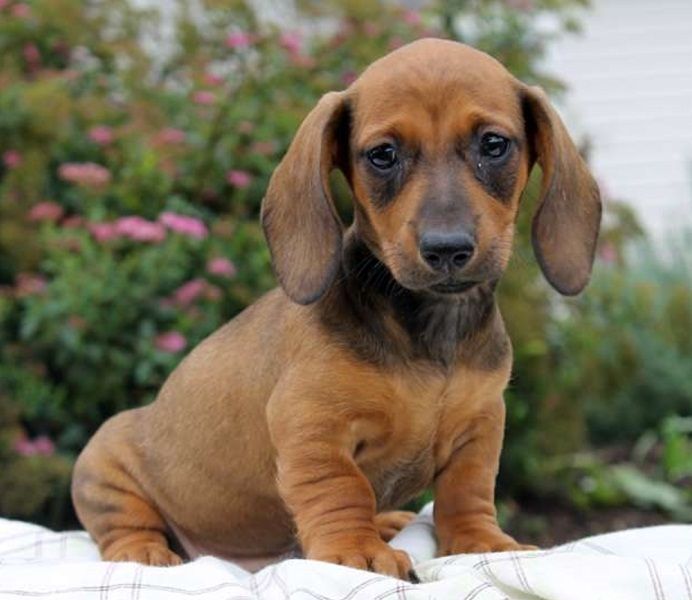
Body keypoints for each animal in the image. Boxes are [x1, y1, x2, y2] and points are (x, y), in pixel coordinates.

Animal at [72, 38, 601, 580]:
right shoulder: (312, 425)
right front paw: (356, 549)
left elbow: (467, 489)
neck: (430, 328)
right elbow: (341, 488)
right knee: (122, 524)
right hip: (104, 464)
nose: (447, 248)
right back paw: (143, 550)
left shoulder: (481, 425)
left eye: (494, 144)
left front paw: (480, 541)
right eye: (383, 154)